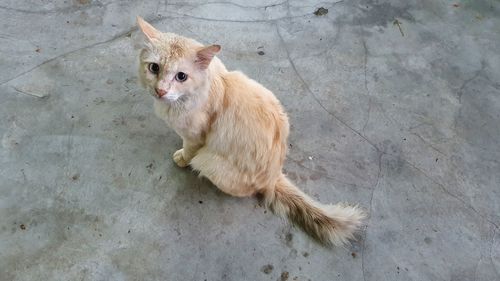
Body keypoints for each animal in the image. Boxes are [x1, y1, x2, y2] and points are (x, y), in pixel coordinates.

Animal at [135, 16, 366, 246]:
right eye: (154, 68)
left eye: (181, 76)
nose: (160, 90)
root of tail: (274, 175)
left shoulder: (196, 137)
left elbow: (189, 149)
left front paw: (182, 157)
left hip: (209, 162)